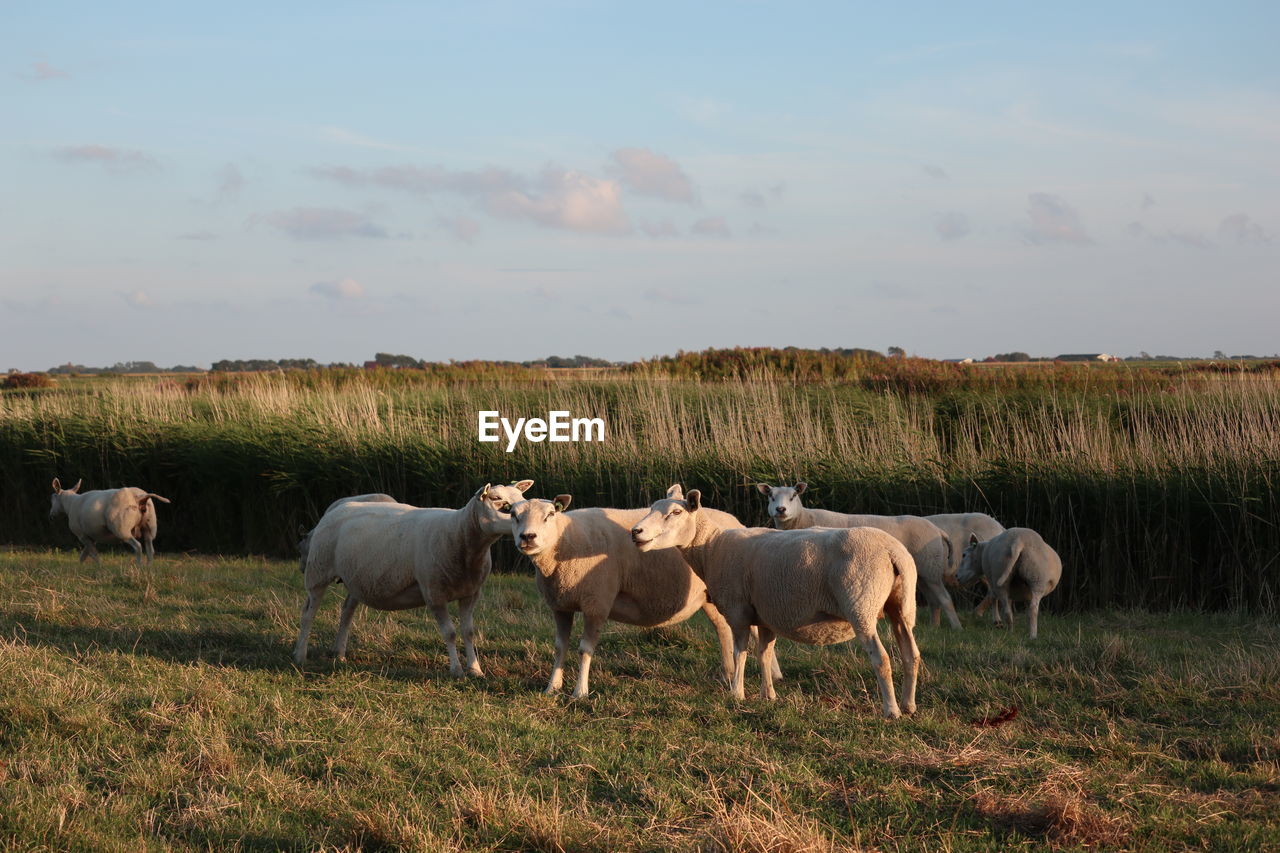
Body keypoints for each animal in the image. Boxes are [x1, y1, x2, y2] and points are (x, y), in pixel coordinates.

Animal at [293, 479, 532, 671]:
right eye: (497, 500)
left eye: (521, 497)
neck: (459, 533)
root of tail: (337, 508)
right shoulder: (434, 593)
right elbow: (450, 633)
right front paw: (456, 670)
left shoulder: (471, 593)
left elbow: (469, 632)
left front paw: (475, 669)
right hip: (318, 572)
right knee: (308, 614)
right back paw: (300, 655)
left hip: (356, 578)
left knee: (346, 612)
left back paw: (339, 654)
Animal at [506, 484, 768, 696]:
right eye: (513, 515)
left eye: (550, 515)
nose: (527, 537)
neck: (565, 540)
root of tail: (735, 521)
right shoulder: (560, 605)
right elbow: (560, 647)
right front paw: (552, 687)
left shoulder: (596, 603)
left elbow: (584, 649)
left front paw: (580, 692)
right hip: (710, 596)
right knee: (723, 630)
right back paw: (727, 675)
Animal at [632, 484, 921, 717]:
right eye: (652, 508)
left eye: (675, 513)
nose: (636, 531)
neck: (710, 548)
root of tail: (891, 550)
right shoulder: (765, 613)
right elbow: (764, 653)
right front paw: (767, 695)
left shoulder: (738, 610)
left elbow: (740, 653)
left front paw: (736, 693)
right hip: (902, 606)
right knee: (911, 654)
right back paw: (909, 705)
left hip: (862, 605)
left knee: (882, 659)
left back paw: (891, 710)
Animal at [747, 481, 962, 627]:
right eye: (771, 496)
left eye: (793, 496)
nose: (780, 509)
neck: (803, 518)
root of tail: (937, 530)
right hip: (923, 571)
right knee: (934, 600)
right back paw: (934, 627)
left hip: (930, 567)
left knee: (945, 598)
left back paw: (956, 627)